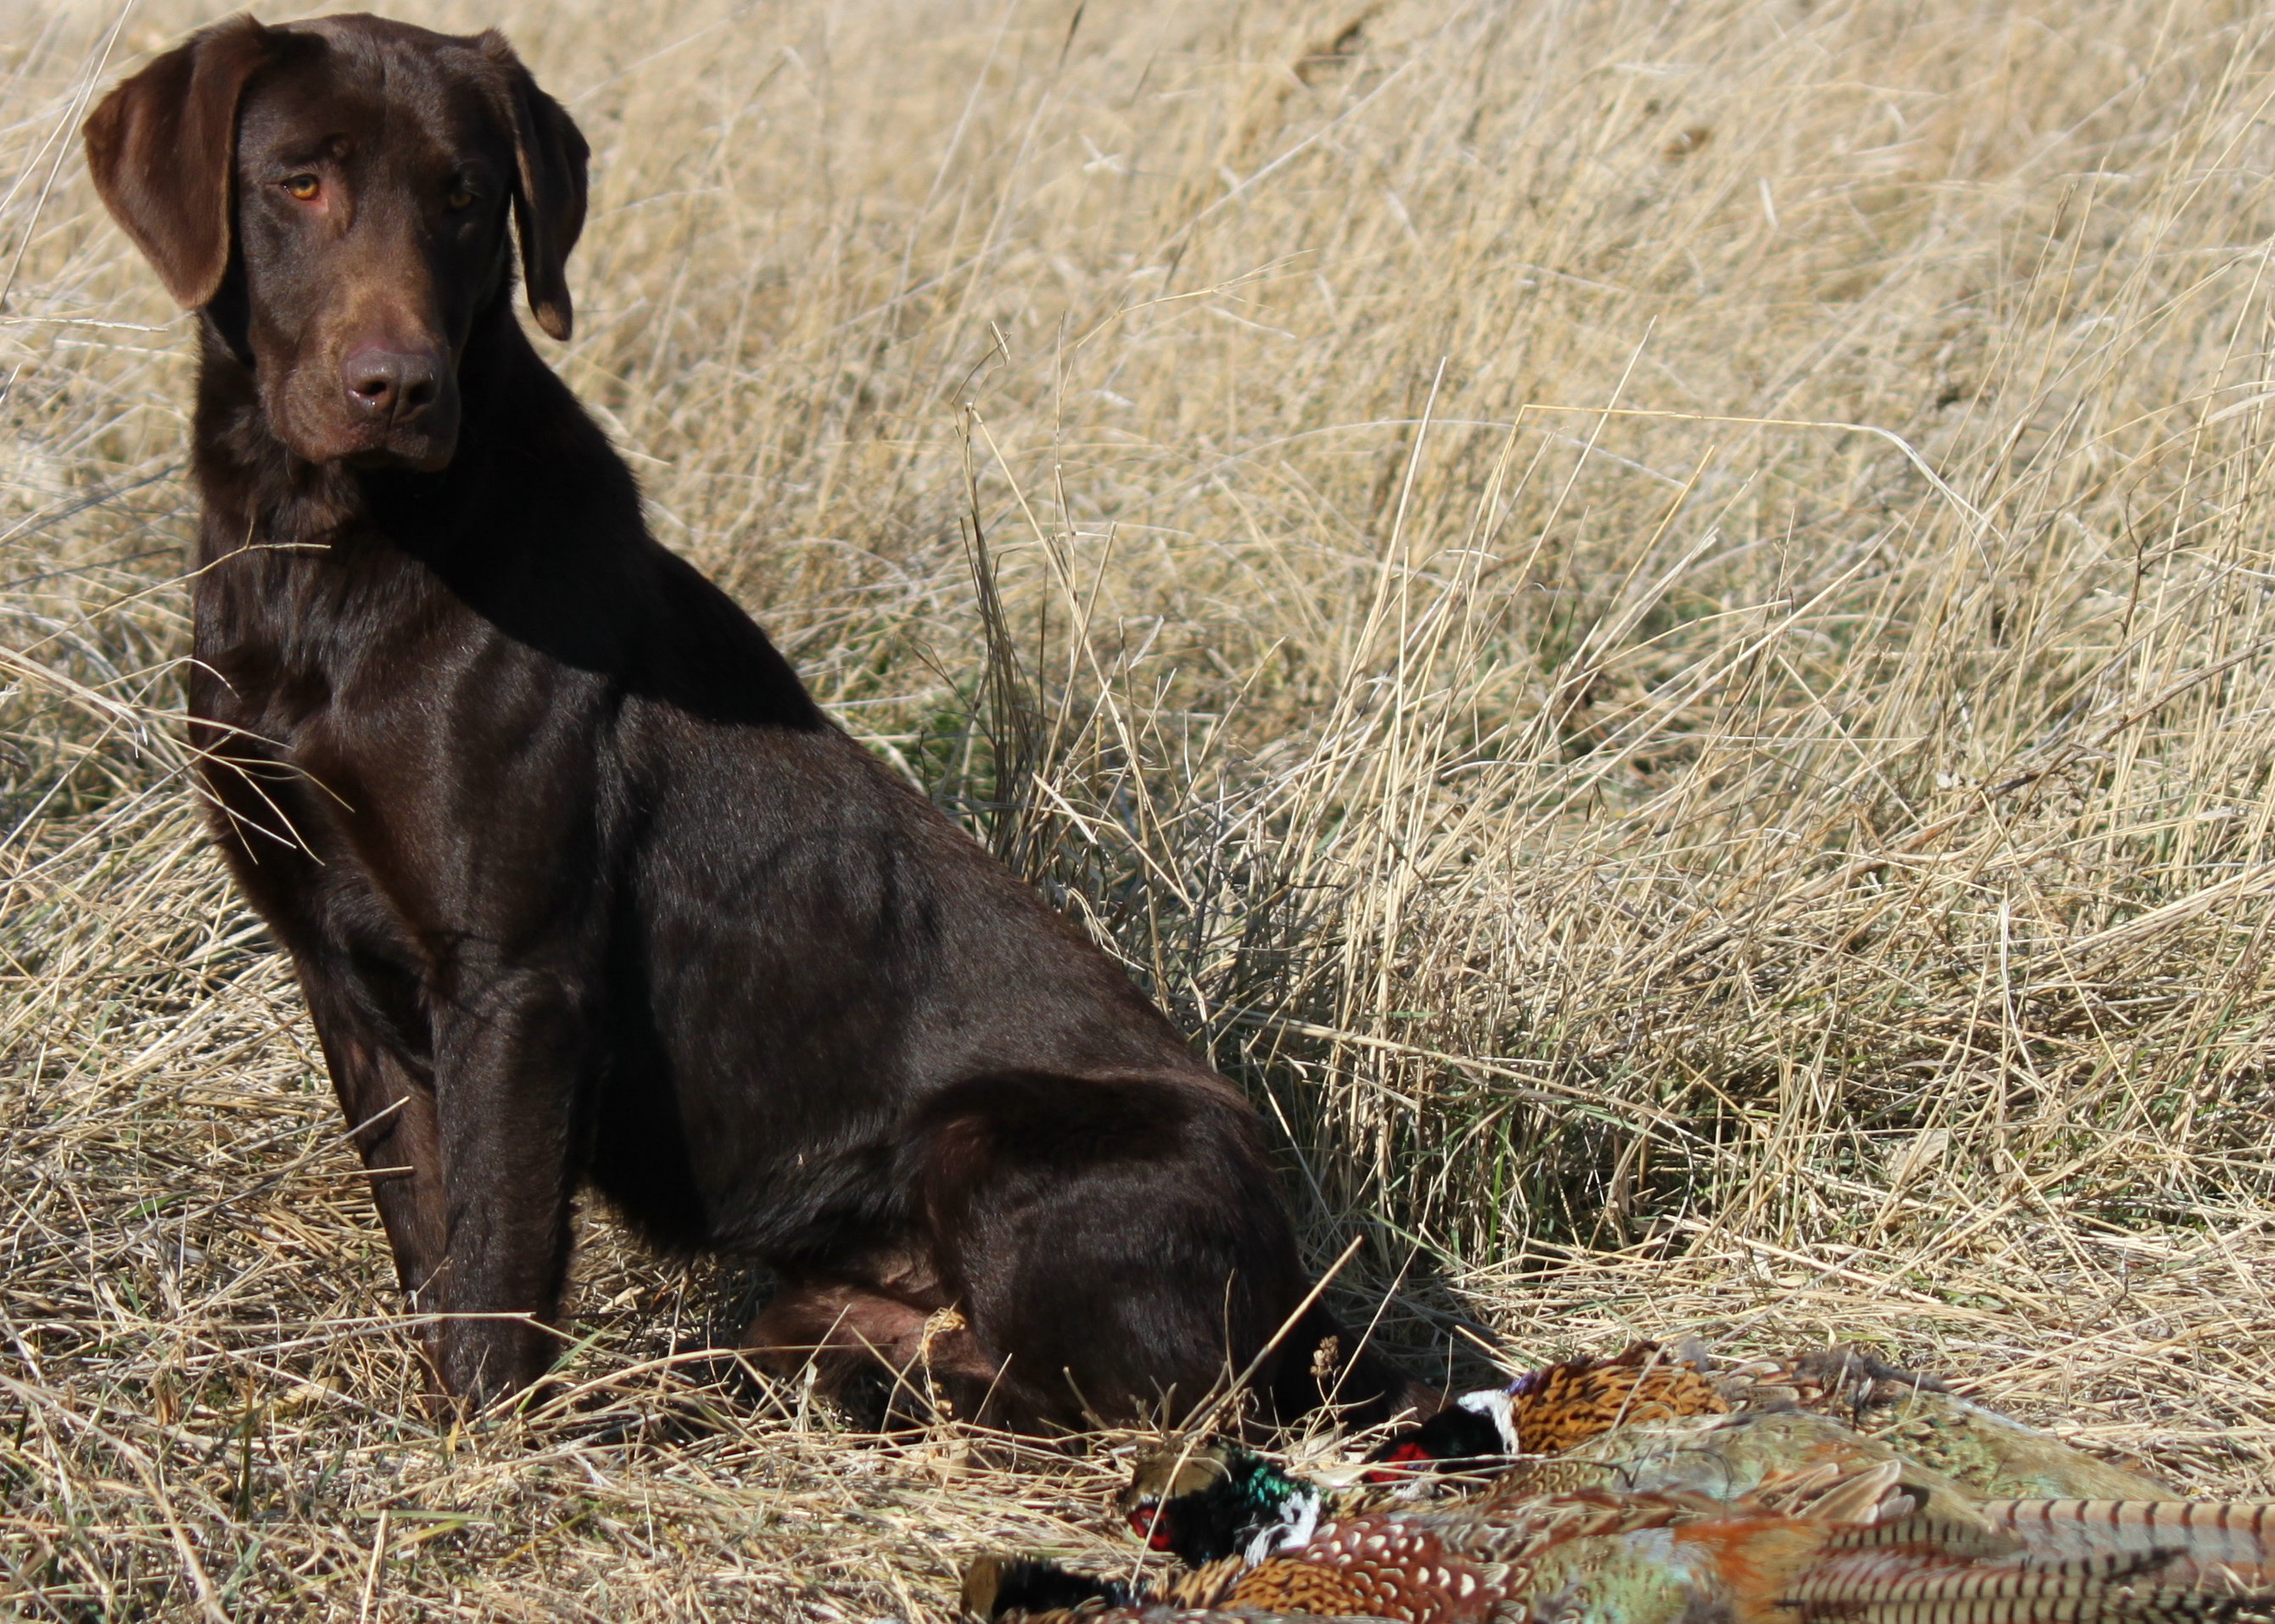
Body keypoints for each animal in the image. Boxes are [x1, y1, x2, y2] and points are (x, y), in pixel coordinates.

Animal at [88, 15, 1428, 1428]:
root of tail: (1310, 1306)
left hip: (1004, 1146)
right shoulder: (337, 973)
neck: (319, 557)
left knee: (1142, 1401)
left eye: (463, 196)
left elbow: (497, 1263)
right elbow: (432, 1245)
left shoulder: (516, 976)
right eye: (298, 180)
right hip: (820, 1291)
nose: (398, 388)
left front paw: (485, 1453)